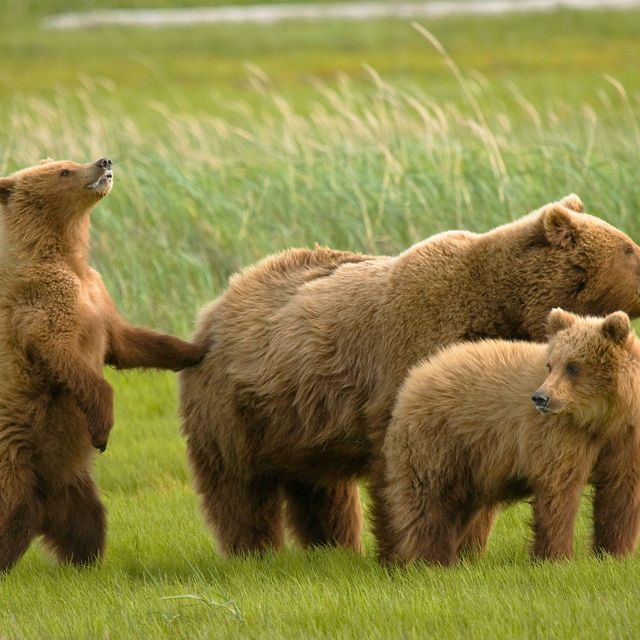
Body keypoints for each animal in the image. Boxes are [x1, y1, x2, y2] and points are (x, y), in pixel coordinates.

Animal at [0, 158, 205, 572]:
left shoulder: (97, 294)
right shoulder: (44, 305)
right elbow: (67, 358)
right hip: (14, 459)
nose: (103, 161)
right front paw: (102, 428)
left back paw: (83, 562)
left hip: (72, 483)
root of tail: (41, 511)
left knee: (87, 521)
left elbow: (128, 343)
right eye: (63, 171)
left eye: (68, 161)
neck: (67, 257)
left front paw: (197, 349)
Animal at [380, 309, 640, 565]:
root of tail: (415, 376)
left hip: (475, 465)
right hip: (439, 440)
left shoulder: (626, 436)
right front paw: (556, 556)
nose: (541, 397)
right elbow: (559, 489)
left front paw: (614, 553)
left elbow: (620, 492)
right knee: (431, 500)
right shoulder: (558, 435)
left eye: (573, 366)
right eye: (551, 365)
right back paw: (433, 558)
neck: (601, 418)